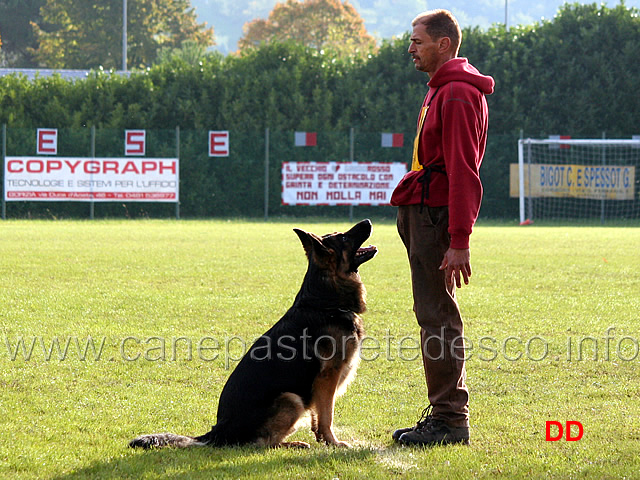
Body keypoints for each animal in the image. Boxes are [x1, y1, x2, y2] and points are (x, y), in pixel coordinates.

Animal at [131, 219, 380, 448]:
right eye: (344, 238)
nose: (368, 221)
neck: (325, 303)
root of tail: (218, 431)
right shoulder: (327, 378)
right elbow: (327, 416)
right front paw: (333, 442)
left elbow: (317, 418)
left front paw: (323, 440)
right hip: (291, 399)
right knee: (263, 443)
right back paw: (292, 444)